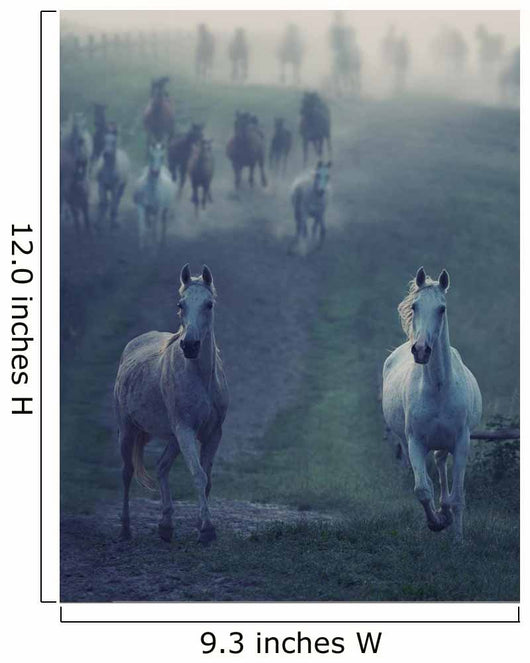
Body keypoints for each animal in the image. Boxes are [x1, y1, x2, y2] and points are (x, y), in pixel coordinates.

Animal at [114, 264, 229, 544]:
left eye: (209, 304)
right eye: (181, 304)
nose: (190, 345)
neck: (200, 378)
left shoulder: (213, 433)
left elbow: (207, 479)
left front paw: (201, 524)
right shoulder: (185, 430)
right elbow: (198, 475)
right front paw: (206, 530)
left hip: (173, 438)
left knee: (161, 466)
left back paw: (166, 525)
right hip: (128, 429)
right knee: (126, 472)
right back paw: (125, 529)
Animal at [382, 267, 482, 542]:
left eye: (442, 309)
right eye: (415, 306)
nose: (421, 350)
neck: (438, 387)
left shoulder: (461, 442)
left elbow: (458, 498)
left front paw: (457, 539)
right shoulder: (415, 441)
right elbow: (422, 490)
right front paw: (436, 522)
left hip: (445, 442)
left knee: (439, 462)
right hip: (408, 442)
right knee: (430, 472)